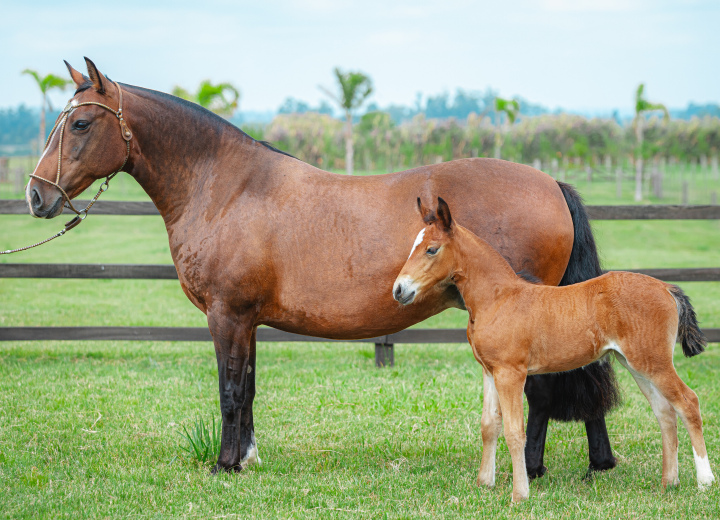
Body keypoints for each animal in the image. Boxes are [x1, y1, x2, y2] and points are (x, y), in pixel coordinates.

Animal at [25, 58, 616, 476]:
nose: (35, 195)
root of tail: (549, 183)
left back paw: (534, 468)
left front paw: (224, 465)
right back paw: (595, 462)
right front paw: (248, 458)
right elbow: (249, 387)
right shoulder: (247, 320)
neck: (226, 187)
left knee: (543, 391)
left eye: (80, 123)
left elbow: (229, 390)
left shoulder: (226, 315)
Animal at [394, 197, 716, 502]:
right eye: (412, 246)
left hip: (654, 362)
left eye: (431, 249)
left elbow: (514, 431)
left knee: (688, 402)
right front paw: (484, 483)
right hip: (636, 364)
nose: (399, 290)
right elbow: (489, 425)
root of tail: (666, 288)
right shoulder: (489, 371)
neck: (498, 298)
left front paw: (519, 494)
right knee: (665, 411)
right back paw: (668, 483)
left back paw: (705, 482)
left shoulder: (511, 373)